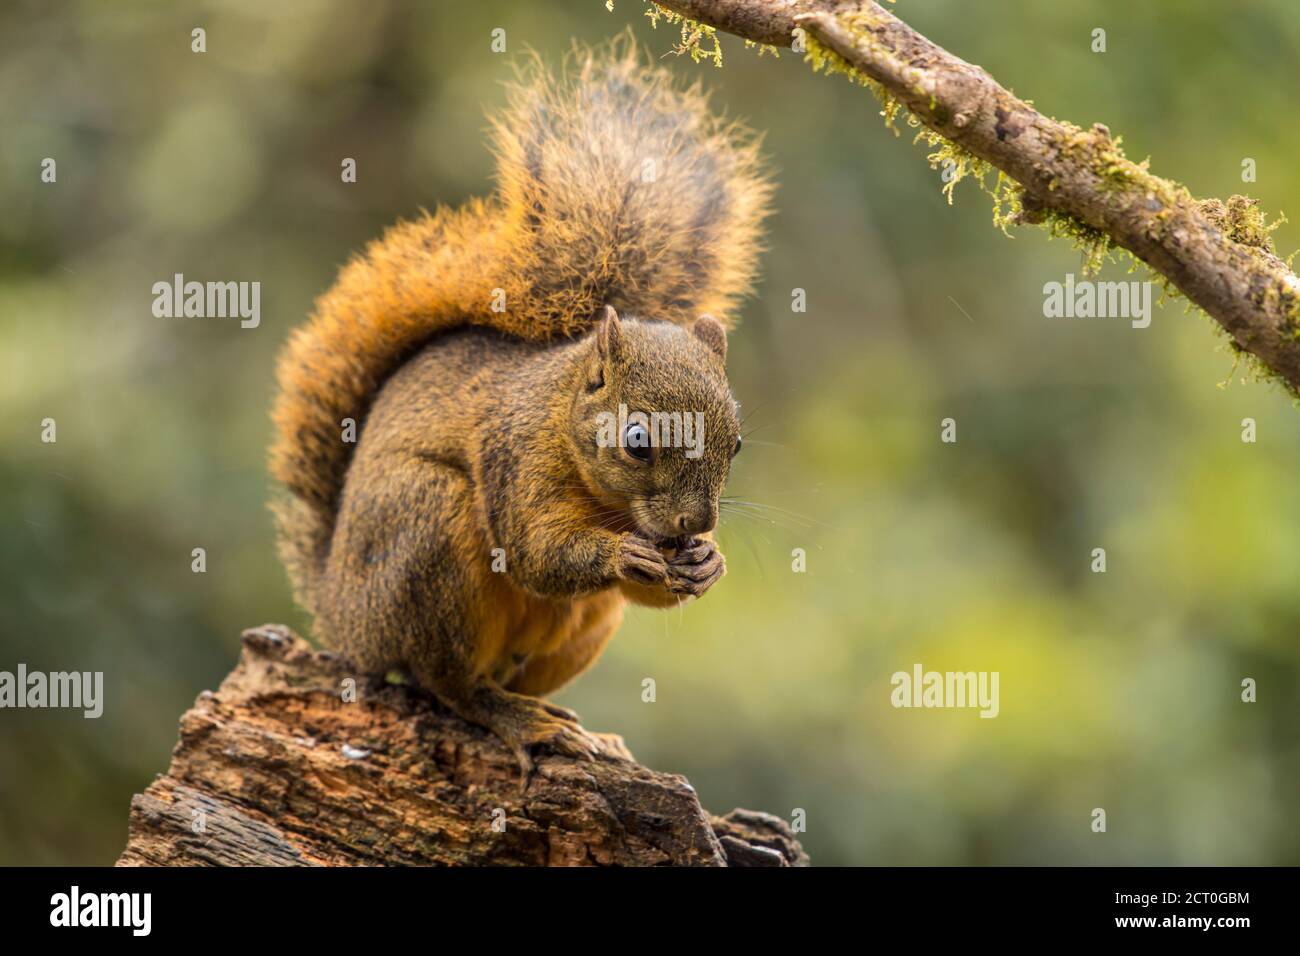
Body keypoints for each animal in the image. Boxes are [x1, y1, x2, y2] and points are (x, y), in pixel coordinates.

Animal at [267, 37, 764, 780]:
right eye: (637, 440)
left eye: (735, 443)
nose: (692, 525)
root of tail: (342, 616)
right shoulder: (515, 457)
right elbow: (535, 551)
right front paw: (626, 554)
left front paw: (706, 563)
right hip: (424, 532)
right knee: (447, 684)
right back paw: (516, 719)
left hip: (578, 632)